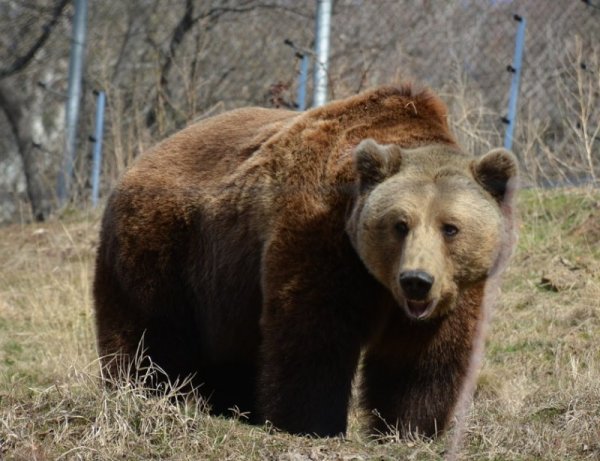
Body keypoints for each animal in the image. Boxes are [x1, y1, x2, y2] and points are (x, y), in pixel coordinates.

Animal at [92, 83, 516, 438]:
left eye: (450, 228)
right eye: (400, 224)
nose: (416, 280)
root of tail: (139, 160)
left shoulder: (455, 290)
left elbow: (421, 357)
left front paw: (410, 428)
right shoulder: (322, 239)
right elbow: (313, 334)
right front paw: (312, 424)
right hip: (162, 247)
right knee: (149, 332)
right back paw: (146, 392)